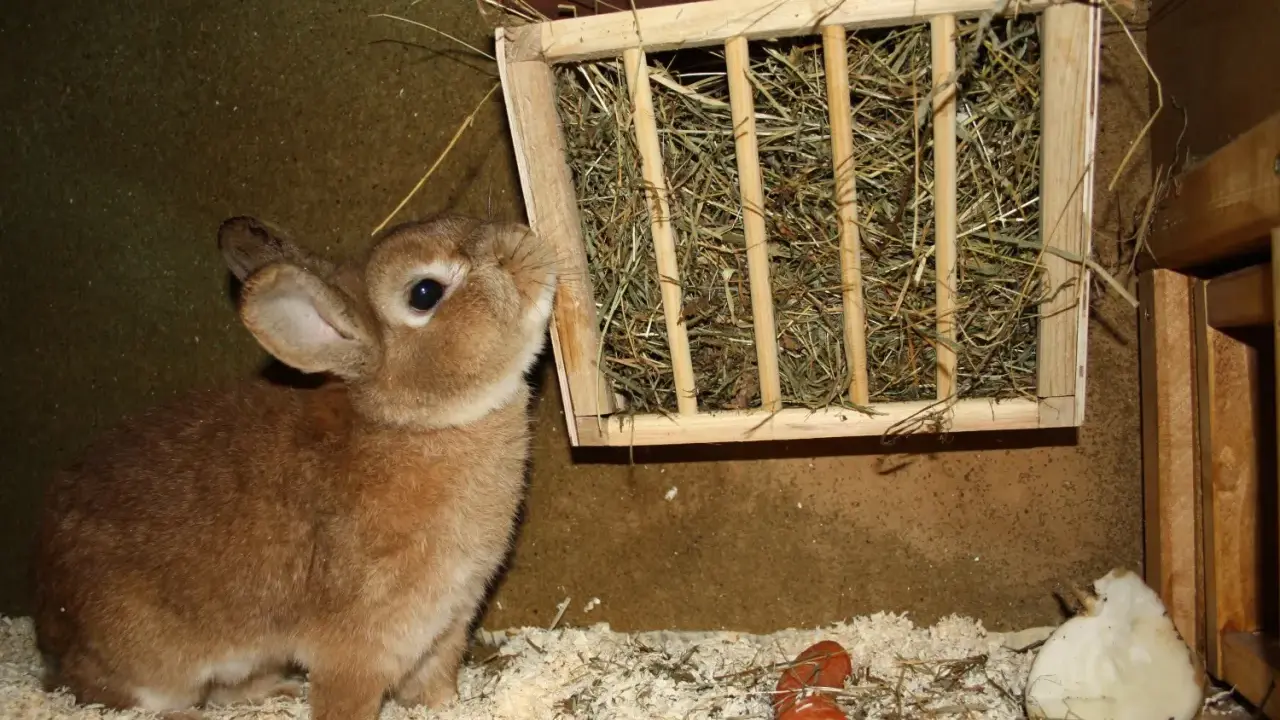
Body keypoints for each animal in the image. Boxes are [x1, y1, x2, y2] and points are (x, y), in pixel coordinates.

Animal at [31, 213, 559, 720]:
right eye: (425, 293)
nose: (525, 242)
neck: (417, 425)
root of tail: (49, 621)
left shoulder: (447, 627)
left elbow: (437, 687)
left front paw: (443, 706)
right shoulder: (360, 647)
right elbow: (344, 703)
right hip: (150, 662)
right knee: (107, 694)